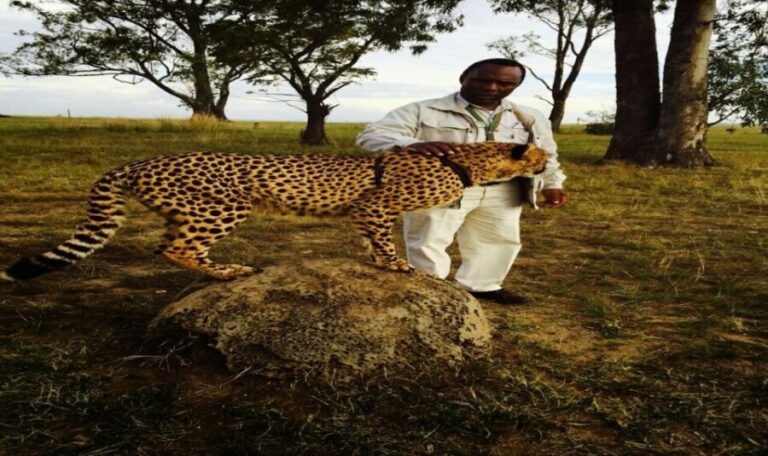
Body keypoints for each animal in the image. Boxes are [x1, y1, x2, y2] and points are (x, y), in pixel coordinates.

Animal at [1, 142, 548, 282]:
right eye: (540, 154)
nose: (549, 162)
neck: (467, 159)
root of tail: (139, 160)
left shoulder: (364, 212)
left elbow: (370, 241)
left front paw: (378, 263)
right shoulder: (374, 205)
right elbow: (385, 241)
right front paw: (397, 267)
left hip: (188, 210)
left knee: (166, 245)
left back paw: (217, 270)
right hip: (225, 207)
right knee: (176, 249)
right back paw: (226, 271)